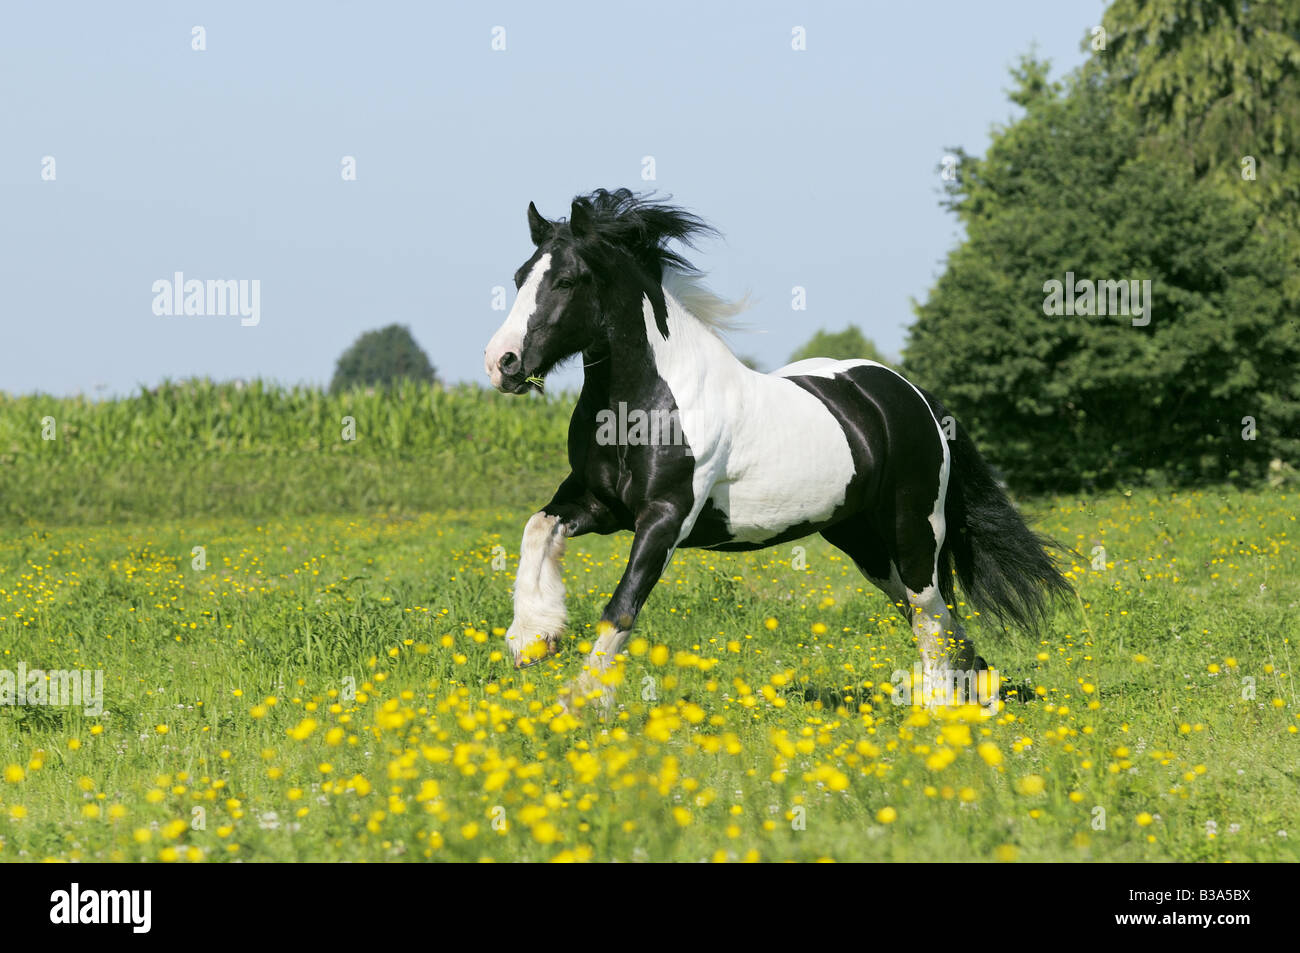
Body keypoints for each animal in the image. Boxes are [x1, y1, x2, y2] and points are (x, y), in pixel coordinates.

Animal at [484, 188, 1070, 712]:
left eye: (567, 280)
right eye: (518, 277)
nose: (502, 363)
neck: (646, 402)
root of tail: (913, 396)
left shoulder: (665, 517)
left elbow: (623, 605)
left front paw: (579, 704)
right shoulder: (599, 506)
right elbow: (537, 528)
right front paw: (532, 638)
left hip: (913, 531)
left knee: (931, 618)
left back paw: (941, 715)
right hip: (862, 541)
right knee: (941, 622)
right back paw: (971, 700)